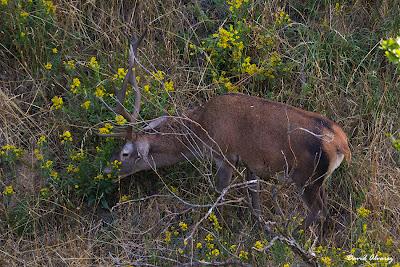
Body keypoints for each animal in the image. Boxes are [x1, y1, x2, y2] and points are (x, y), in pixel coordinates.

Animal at [103, 33, 350, 230]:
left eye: (125, 153)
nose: (106, 169)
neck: (202, 129)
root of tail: (342, 144)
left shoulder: (225, 155)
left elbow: (219, 194)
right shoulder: (251, 164)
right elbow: (255, 201)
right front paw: (261, 228)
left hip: (306, 178)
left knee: (318, 210)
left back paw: (296, 236)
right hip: (319, 180)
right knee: (326, 209)